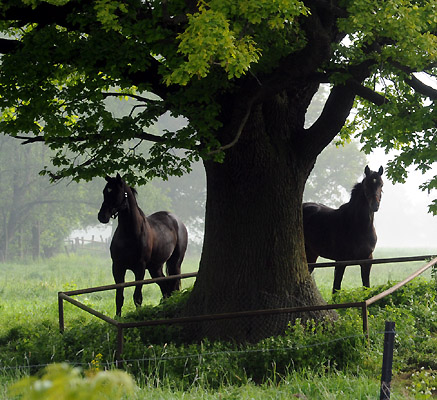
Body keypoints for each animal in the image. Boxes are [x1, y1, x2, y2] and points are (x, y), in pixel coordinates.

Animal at [97, 174, 187, 316]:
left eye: (116, 192)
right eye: (105, 192)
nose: (102, 216)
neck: (129, 233)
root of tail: (177, 221)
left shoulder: (140, 268)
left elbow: (137, 297)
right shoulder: (117, 267)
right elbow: (119, 297)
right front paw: (118, 317)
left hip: (175, 264)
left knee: (173, 286)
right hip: (155, 267)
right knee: (165, 288)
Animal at [304, 166, 382, 294]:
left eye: (381, 184)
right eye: (366, 185)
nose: (375, 205)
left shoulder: (367, 261)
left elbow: (366, 286)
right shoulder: (340, 262)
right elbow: (336, 289)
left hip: (311, 254)